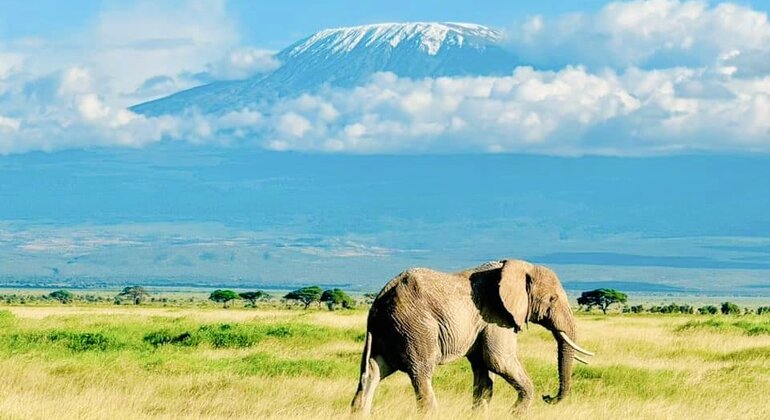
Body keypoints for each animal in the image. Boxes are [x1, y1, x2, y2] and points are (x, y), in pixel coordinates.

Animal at [350, 260, 592, 414]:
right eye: (552, 299)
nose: (548, 397)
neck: (520, 266)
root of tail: (381, 296)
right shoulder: (496, 315)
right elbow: (499, 361)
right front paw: (515, 413)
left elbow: (484, 375)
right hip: (415, 327)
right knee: (421, 372)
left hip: (387, 332)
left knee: (373, 372)